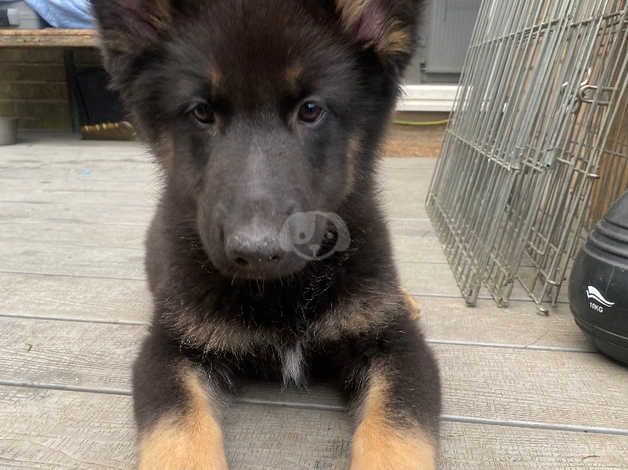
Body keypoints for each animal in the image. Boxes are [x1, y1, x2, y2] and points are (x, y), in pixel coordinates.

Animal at [93, 1, 440, 468]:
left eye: (310, 110)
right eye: (201, 112)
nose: (257, 252)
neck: (282, 292)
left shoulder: (398, 347)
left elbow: (397, 431)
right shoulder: (169, 350)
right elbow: (179, 432)